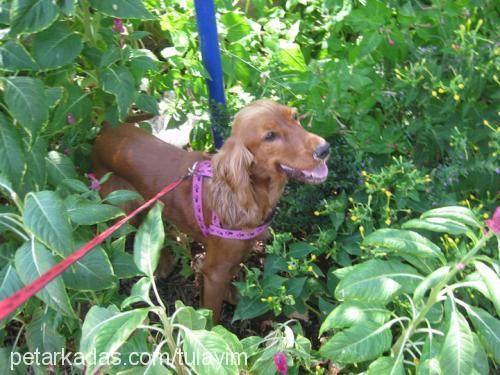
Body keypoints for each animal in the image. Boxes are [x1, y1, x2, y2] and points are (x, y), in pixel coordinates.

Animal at [92, 100, 330, 324]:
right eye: (270, 136)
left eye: (295, 116)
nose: (324, 149)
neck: (250, 191)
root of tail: (107, 130)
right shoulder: (214, 272)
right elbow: (212, 314)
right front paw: (214, 331)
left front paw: (232, 293)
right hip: (124, 205)